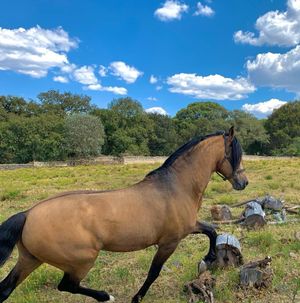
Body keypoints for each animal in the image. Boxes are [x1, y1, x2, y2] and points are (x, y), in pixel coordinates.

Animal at [0, 126, 247, 302]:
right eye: (235, 155)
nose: (243, 182)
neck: (176, 186)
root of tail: (28, 214)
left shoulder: (189, 227)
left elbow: (211, 230)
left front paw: (209, 258)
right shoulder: (169, 242)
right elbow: (153, 272)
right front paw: (137, 298)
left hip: (30, 260)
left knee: (5, 289)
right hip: (81, 261)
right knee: (67, 286)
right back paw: (106, 296)